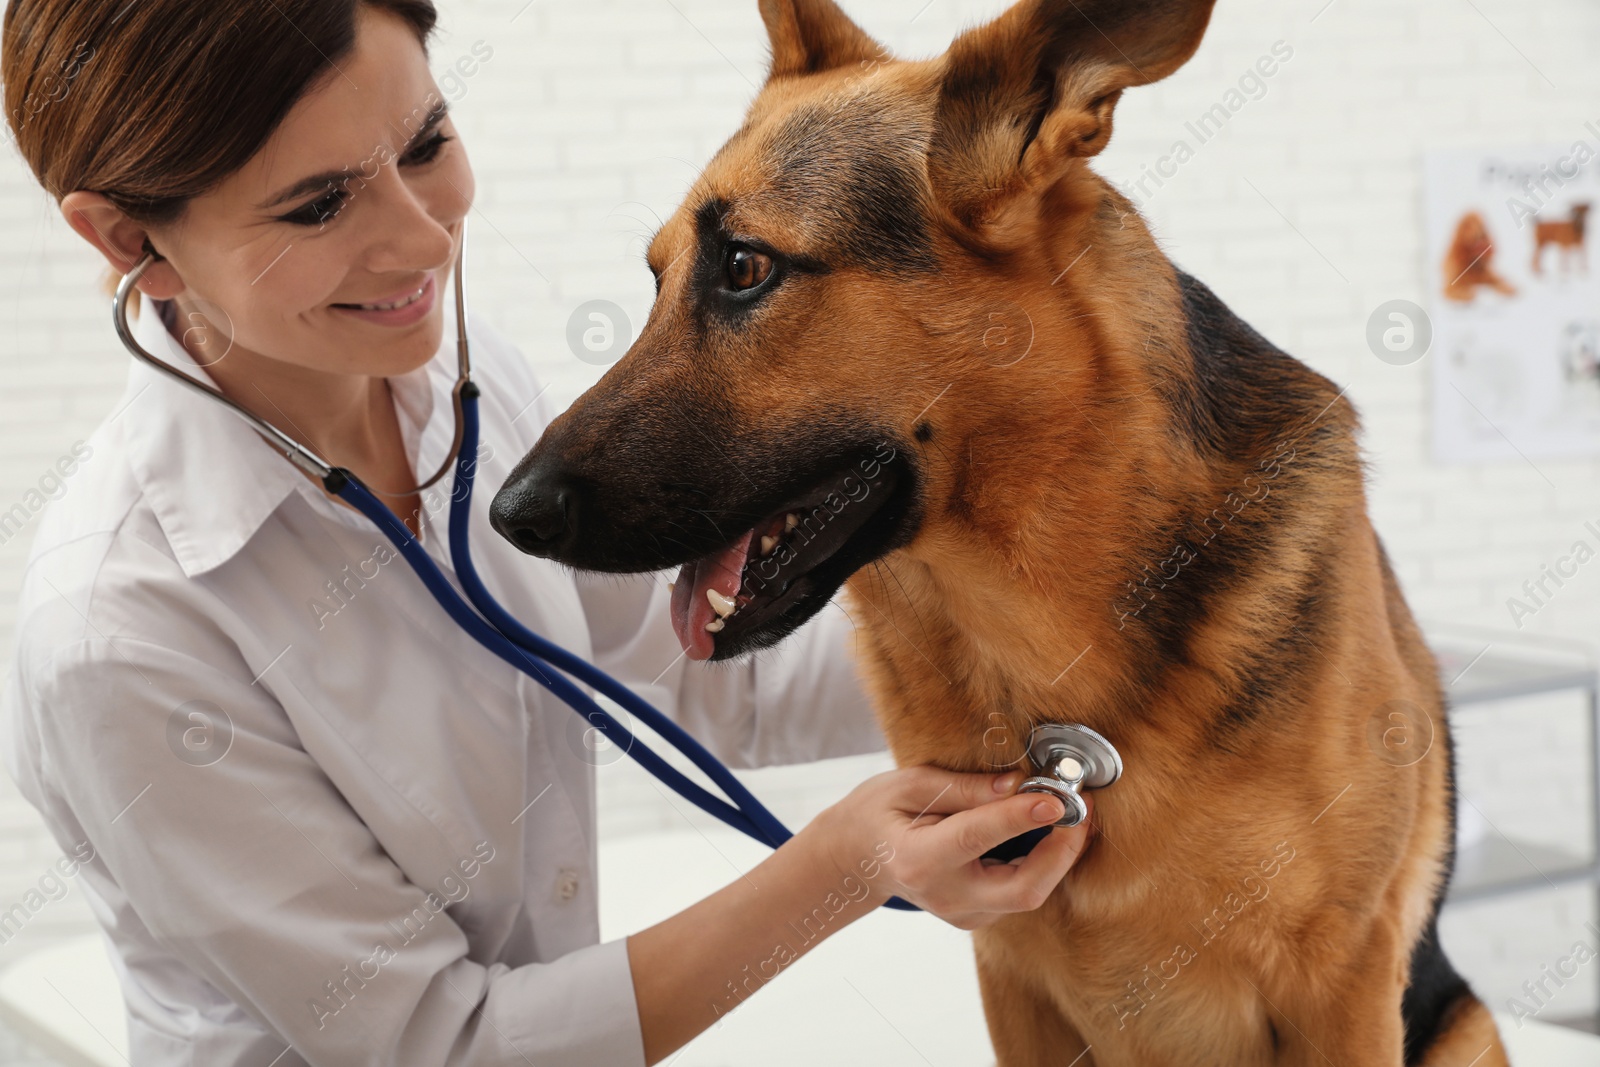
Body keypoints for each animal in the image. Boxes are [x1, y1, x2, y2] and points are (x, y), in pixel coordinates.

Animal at [489, 4, 1510, 1062]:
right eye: (656, 279)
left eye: (744, 267)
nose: (507, 514)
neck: (1040, 625)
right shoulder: (1011, 974)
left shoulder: (1344, 982)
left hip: (1465, 1029)